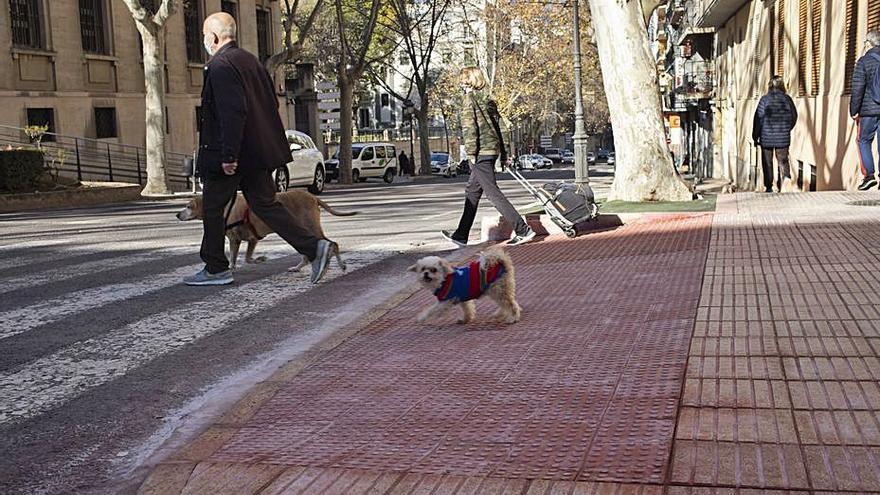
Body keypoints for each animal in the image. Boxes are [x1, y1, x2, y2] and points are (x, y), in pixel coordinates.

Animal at [175, 190, 358, 272]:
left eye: (188, 206)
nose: (177, 214)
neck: (226, 208)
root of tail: (313, 196)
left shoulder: (238, 240)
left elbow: (238, 258)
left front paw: (242, 264)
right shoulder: (250, 240)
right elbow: (244, 258)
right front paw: (256, 260)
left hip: (309, 226)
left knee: (332, 244)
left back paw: (340, 264)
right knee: (312, 251)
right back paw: (299, 267)